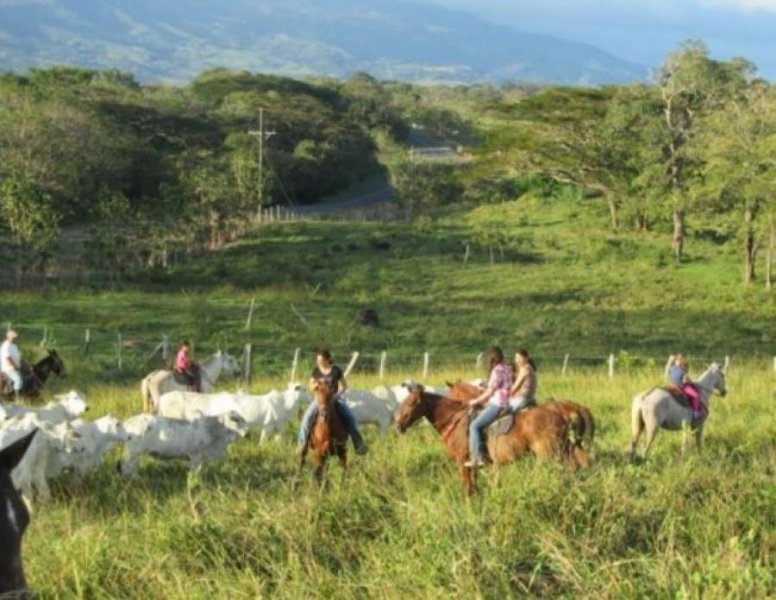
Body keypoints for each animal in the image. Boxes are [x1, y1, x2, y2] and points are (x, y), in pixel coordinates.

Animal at [118, 410, 249, 476]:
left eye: (243, 419)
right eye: (236, 420)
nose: (248, 433)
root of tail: (128, 421)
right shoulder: (195, 456)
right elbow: (194, 473)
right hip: (133, 454)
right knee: (126, 467)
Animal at [398, 384, 572, 496]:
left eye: (412, 403)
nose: (398, 425)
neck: (454, 419)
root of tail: (561, 415)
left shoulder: (462, 462)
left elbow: (466, 488)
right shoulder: (472, 465)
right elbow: (473, 487)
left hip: (547, 457)